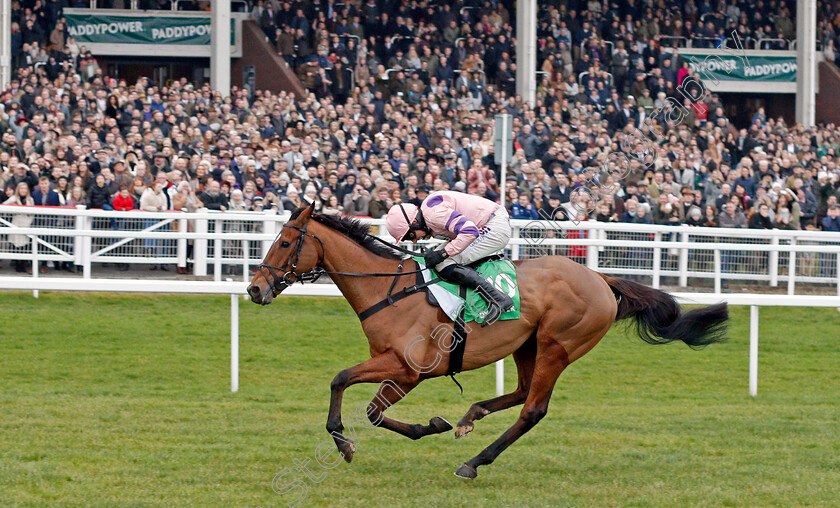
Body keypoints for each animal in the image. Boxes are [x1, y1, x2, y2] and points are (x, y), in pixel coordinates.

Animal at [246, 201, 724, 476]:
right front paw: (433, 425)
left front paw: (344, 442)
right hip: (529, 345)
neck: (391, 291)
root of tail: (600, 279)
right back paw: (468, 417)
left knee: (533, 409)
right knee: (521, 392)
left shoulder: (407, 368)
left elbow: (344, 383)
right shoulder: (396, 368)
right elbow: (370, 408)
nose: (254, 289)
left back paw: (474, 463)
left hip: (558, 346)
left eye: (285, 242)